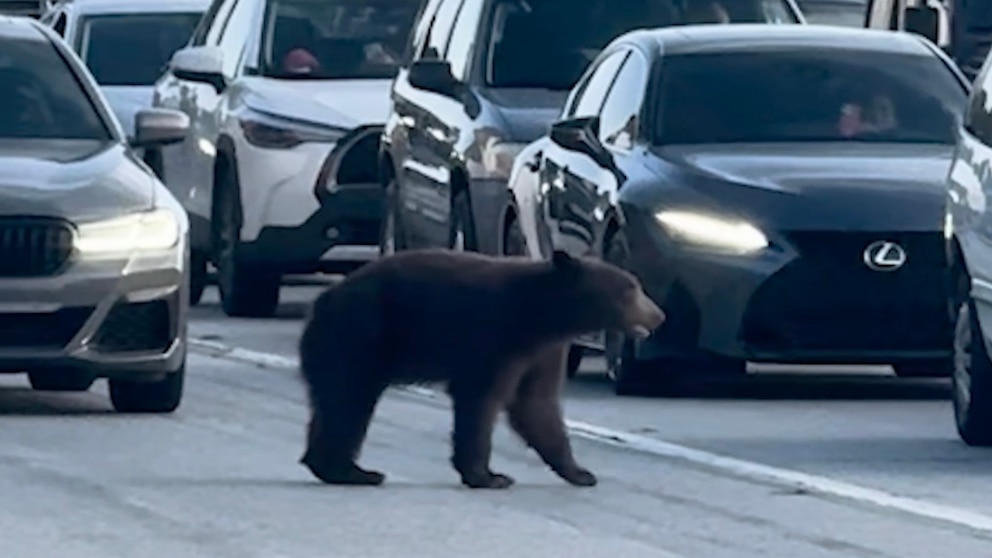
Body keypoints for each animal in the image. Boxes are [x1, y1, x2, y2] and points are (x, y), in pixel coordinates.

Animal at [296, 249, 668, 490]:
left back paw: (329, 466)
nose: (659, 315)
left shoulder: (543, 352)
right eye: (630, 289)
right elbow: (481, 399)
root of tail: (321, 301)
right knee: (349, 401)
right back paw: (354, 471)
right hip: (358, 338)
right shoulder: (494, 336)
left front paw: (579, 472)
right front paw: (488, 476)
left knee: (335, 402)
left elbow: (537, 405)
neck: (543, 315)